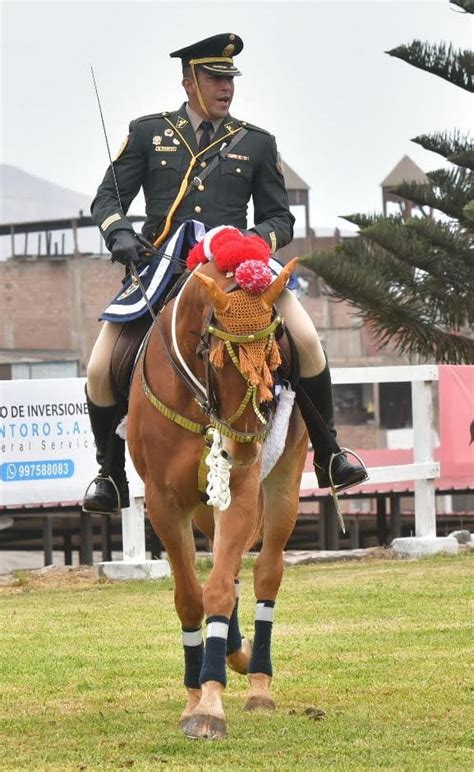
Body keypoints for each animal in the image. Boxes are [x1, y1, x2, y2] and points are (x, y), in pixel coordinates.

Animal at [126, 256, 308, 740]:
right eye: (213, 354)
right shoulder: (164, 504)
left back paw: (257, 678)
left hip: (283, 484)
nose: (244, 449)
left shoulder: (241, 494)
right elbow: (191, 596)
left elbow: (220, 591)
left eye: (275, 350)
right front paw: (195, 695)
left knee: (266, 573)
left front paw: (210, 703)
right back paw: (236, 651)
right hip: (207, 508)